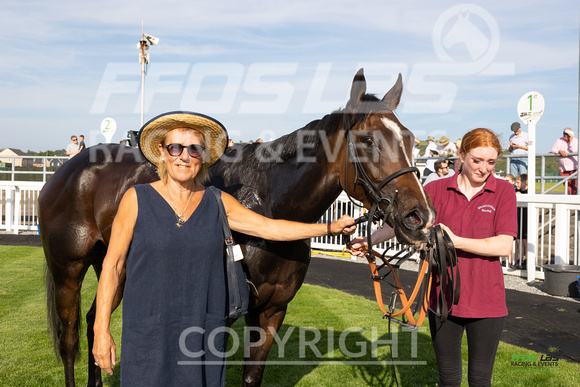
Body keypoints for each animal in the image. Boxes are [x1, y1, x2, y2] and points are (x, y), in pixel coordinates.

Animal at [38, 69, 432, 387]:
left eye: (410, 139)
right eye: (367, 140)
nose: (418, 217)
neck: (270, 203)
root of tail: (68, 171)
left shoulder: (273, 310)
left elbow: (252, 374)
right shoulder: (223, 315)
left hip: (115, 266)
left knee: (96, 321)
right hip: (68, 270)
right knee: (70, 338)